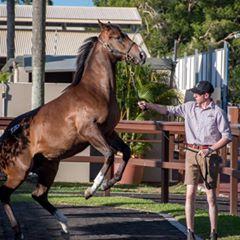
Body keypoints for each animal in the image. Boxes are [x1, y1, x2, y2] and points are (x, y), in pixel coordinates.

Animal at [0, 21, 146, 240]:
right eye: (118, 37)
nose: (141, 55)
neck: (95, 91)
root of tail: (7, 136)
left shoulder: (109, 133)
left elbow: (126, 153)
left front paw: (108, 184)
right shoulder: (90, 132)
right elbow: (110, 155)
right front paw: (90, 190)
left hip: (49, 166)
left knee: (38, 195)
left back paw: (65, 225)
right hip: (19, 172)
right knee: (5, 195)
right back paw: (19, 232)